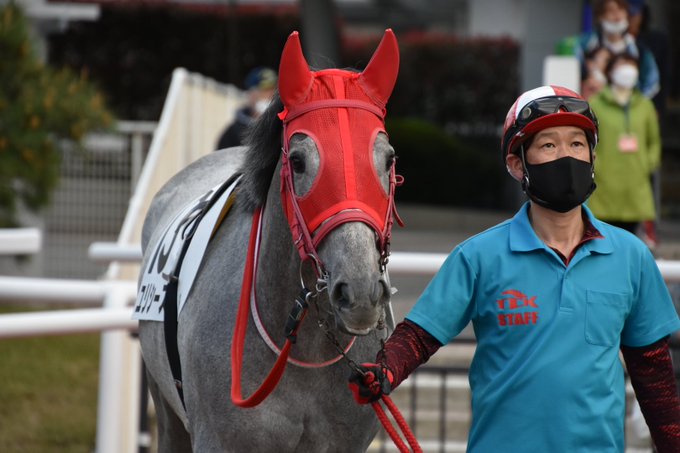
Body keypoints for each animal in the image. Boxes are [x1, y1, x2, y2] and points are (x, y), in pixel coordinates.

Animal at [139, 30, 404, 450]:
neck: (305, 349)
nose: (360, 292)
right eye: (298, 161)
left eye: (389, 158)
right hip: (166, 412)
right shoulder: (216, 438)